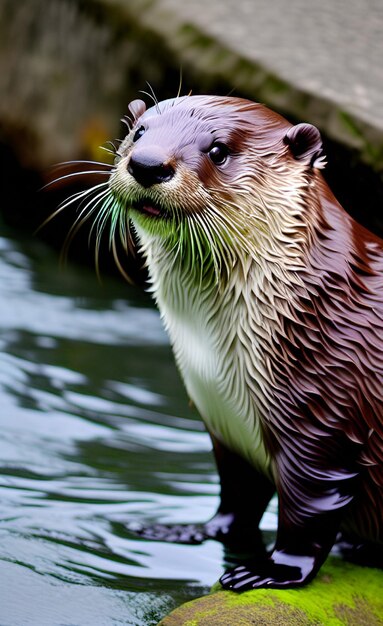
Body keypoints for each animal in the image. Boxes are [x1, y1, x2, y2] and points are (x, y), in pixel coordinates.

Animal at [68, 95, 380, 588]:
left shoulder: (324, 419)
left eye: (218, 151)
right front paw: (189, 530)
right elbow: (237, 496)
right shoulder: (227, 423)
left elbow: (308, 514)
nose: (147, 164)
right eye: (139, 131)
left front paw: (270, 569)